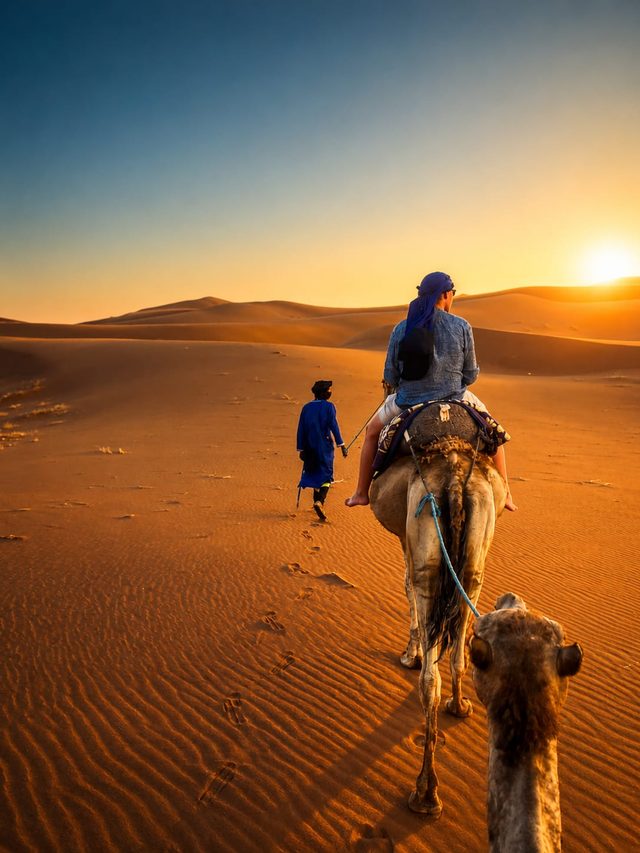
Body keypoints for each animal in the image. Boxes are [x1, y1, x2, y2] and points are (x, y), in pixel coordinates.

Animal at [370, 428, 507, 816]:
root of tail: (456, 480)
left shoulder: (406, 538)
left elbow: (404, 585)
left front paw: (409, 655)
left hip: (425, 545)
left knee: (429, 679)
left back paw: (425, 793)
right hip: (476, 553)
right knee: (463, 631)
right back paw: (459, 706)